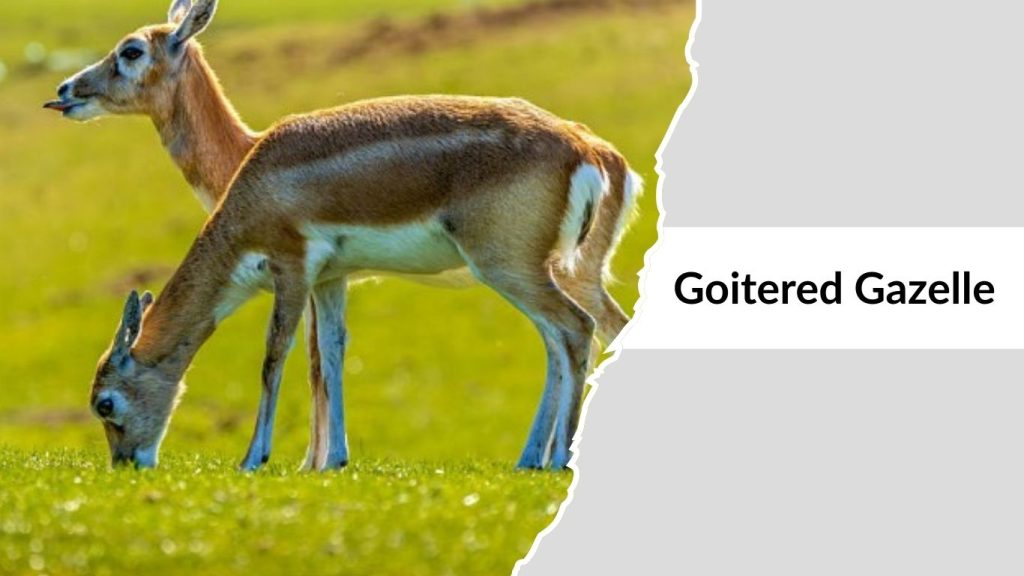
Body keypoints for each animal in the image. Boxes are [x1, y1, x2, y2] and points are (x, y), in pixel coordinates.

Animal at [45, 0, 642, 471]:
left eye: (130, 52)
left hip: (514, 268)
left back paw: (555, 460)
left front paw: (260, 459)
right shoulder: (331, 280)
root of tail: (588, 149)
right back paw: (535, 458)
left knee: (575, 330)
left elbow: (279, 357)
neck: (248, 163)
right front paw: (331, 461)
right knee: (577, 337)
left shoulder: (291, 268)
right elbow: (330, 357)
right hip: (550, 272)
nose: (65, 91)